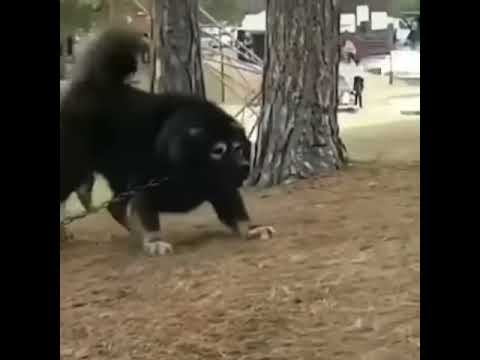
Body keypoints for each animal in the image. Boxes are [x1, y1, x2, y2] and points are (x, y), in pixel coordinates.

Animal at [61, 28, 274, 255]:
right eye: (218, 150)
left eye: (238, 147)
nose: (244, 166)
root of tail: (94, 84)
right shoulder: (144, 186)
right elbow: (149, 219)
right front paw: (155, 241)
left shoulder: (222, 188)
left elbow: (237, 213)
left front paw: (252, 229)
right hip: (73, 166)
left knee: (114, 207)